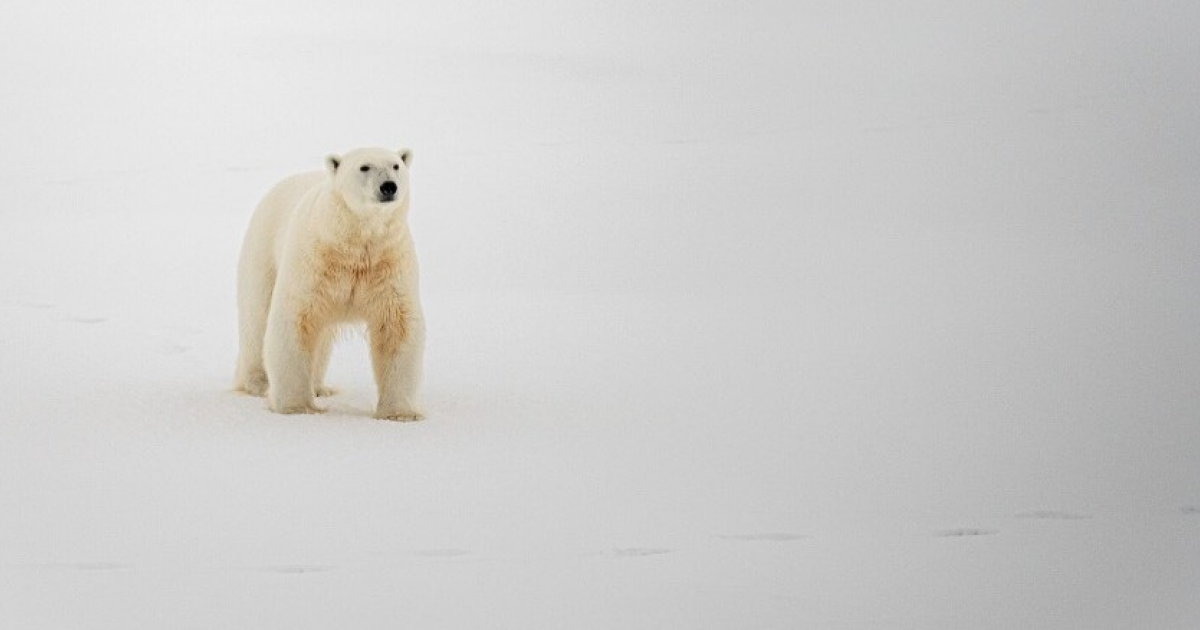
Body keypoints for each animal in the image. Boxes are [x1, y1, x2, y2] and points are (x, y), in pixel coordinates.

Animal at [231, 147, 424, 420]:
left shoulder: (388, 263)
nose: (389, 186)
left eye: (396, 165)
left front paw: (399, 413)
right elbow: (293, 319)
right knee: (257, 318)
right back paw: (258, 383)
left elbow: (397, 326)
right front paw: (296, 406)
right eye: (364, 167)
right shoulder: (313, 262)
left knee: (320, 340)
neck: (352, 244)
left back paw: (320, 387)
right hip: (262, 249)